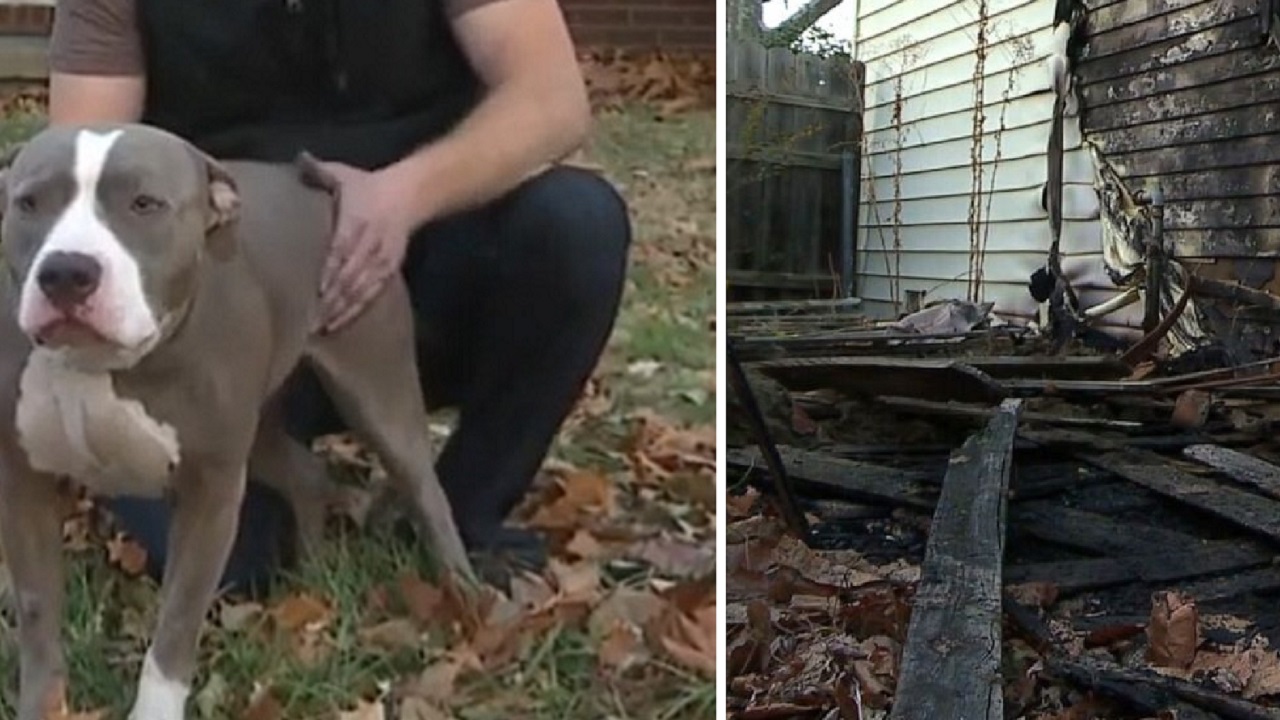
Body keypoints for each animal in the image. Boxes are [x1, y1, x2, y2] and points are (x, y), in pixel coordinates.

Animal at [0, 124, 476, 717]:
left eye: (145, 204)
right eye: (28, 203)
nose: (66, 272)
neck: (101, 363)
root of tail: (310, 188)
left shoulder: (210, 496)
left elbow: (176, 627)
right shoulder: (24, 487)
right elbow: (38, 621)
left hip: (376, 387)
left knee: (425, 489)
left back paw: (470, 601)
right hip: (261, 431)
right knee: (307, 474)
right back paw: (313, 573)